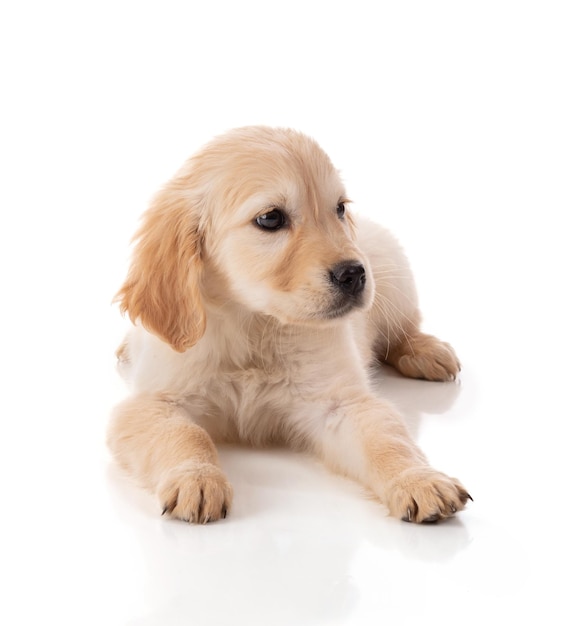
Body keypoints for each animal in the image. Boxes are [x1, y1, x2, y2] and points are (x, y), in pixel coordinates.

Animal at [107, 125, 472, 520]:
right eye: (270, 218)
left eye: (339, 208)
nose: (355, 274)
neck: (253, 322)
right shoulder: (152, 402)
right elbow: (186, 434)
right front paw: (196, 477)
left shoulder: (339, 404)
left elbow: (386, 441)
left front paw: (419, 479)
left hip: (394, 275)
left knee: (403, 330)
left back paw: (426, 352)